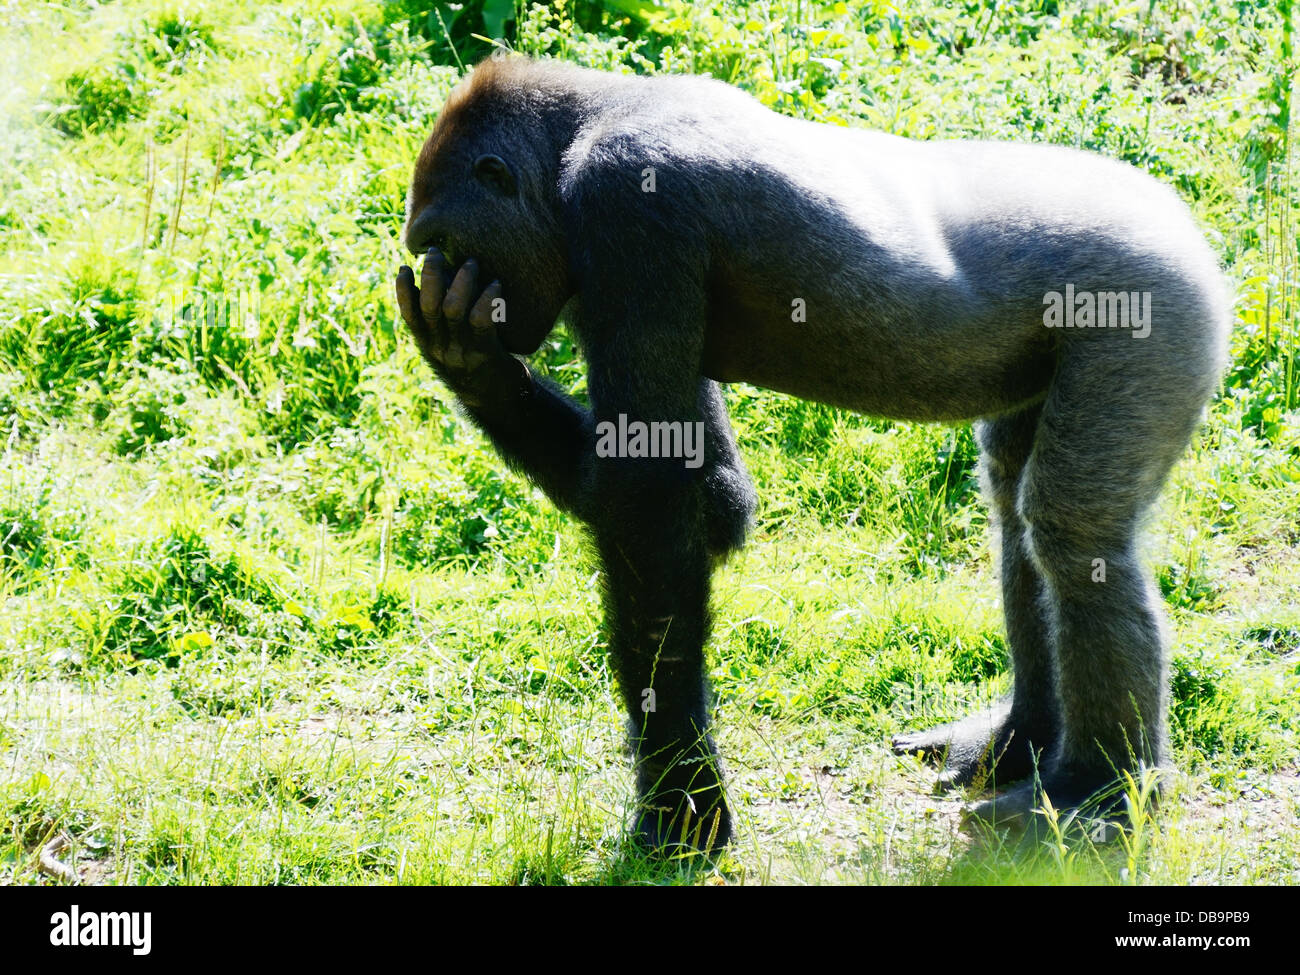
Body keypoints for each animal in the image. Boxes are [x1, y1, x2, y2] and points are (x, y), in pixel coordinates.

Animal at [392, 57, 1227, 852]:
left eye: (442, 244)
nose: (449, 286)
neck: (585, 124)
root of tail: (1187, 224)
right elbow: (713, 500)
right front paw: (472, 363)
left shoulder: (629, 210)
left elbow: (651, 510)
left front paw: (684, 807)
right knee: (1017, 506)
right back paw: (1022, 736)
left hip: (1151, 301)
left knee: (1073, 531)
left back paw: (1098, 787)